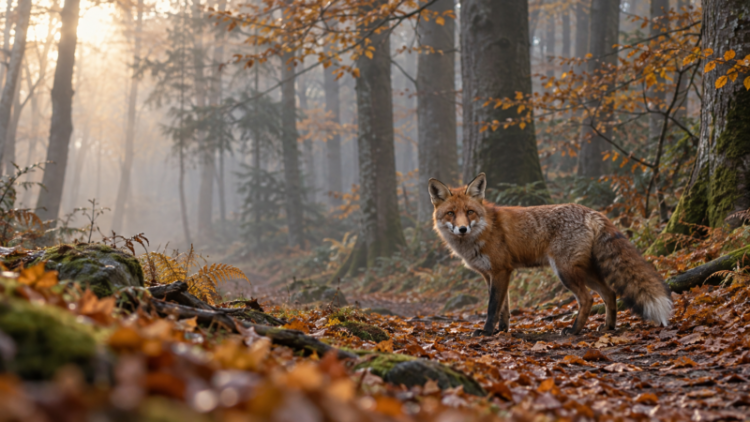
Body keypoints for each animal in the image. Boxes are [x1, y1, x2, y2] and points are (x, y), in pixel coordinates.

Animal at [428, 173, 673, 336]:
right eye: (451, 214)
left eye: (469, 212)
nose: (462, 229)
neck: (484, 229)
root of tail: (592, 212)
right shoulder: (492, 274)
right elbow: (503, 308)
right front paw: (503, 331)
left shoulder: (500, 271)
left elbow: (492, 307)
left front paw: (487, 332)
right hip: (586, 271)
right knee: (609, 293)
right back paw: (608, 327)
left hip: (565, 271)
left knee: (587, 299)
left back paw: (574, 330)